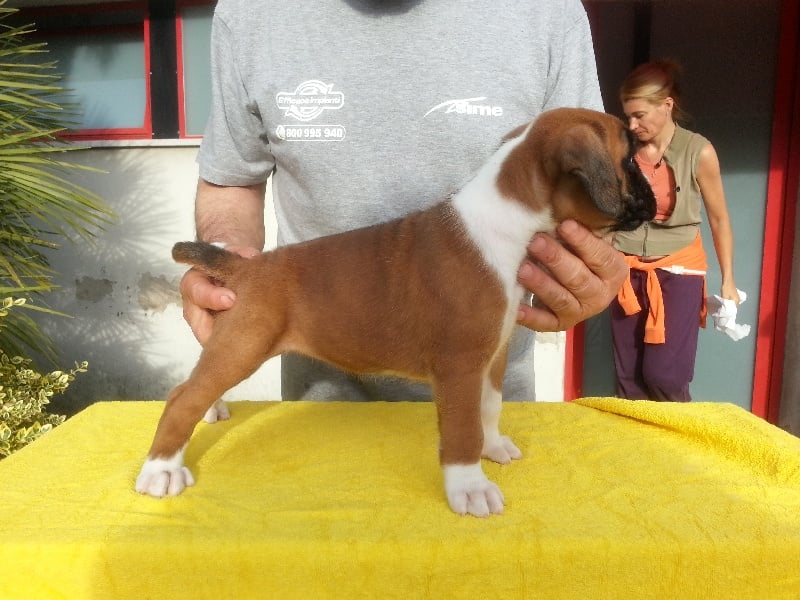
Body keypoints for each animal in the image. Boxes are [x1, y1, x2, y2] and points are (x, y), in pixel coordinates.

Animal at [135, 108, 655, 517]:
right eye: (630, 157)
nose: (657, 194)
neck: (507, 221)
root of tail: (248, 267)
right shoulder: (460, 367)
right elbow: (462, 430)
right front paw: (469, 487)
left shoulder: (492, 356)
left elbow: (488, 408)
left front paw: (492, 446)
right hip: (244, 345)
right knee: (182, 398)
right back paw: (161, 470)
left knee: (196, 386)